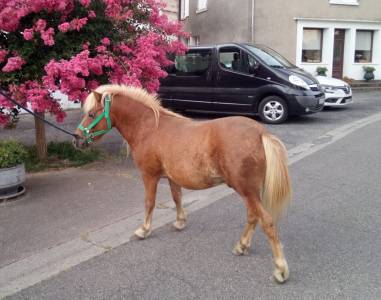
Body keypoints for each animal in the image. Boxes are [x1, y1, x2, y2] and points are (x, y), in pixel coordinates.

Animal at [72, 85, 290, 284]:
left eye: (91, 114)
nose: (77, 140)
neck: (149, 128)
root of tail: (260, 133)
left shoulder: (149, 176)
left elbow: (149, 203)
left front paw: (144, 230)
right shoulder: (172, 178)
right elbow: (177, 198)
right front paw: (180, 222)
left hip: (246, 190)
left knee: (267, 221)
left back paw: (280, 269)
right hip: (250, 192)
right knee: (253, 217)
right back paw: (242, 246)